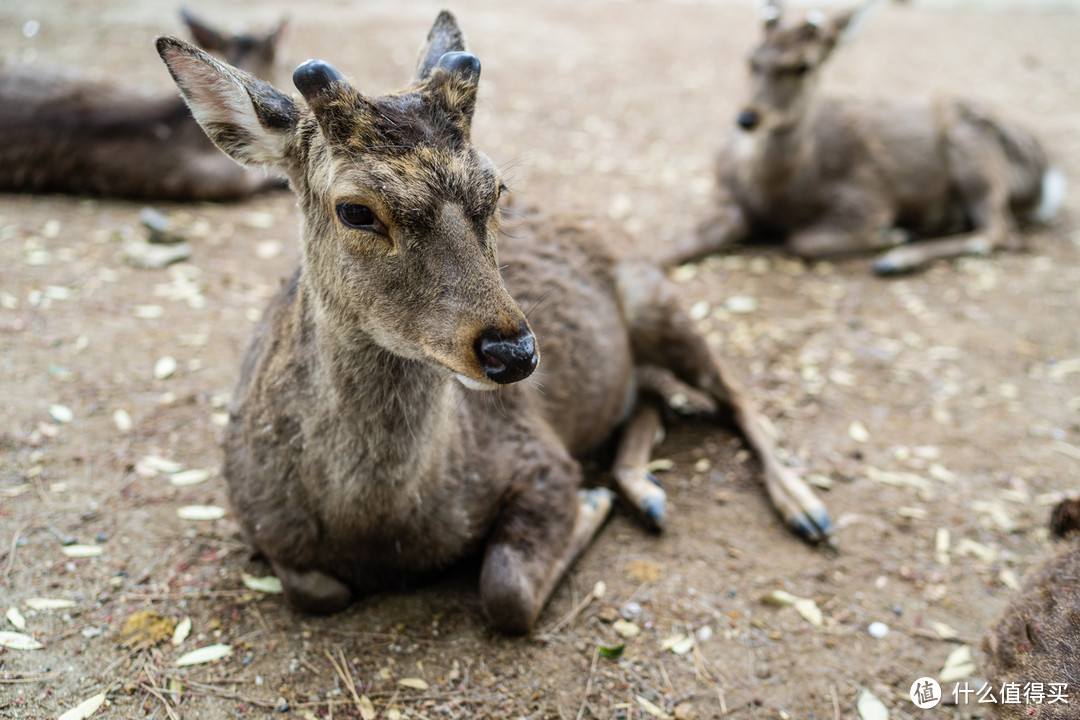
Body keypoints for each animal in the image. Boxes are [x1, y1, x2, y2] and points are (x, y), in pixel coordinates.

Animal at [152, 8, 829, 634]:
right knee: (656, 397)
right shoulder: (257, 522)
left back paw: (805, 510)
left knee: (737, 394)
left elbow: (506, 592)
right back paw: (645, 490)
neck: (381, 531)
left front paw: (591, 503)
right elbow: (317, 591)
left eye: (497, 187)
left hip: (657, 298)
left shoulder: (540, 456)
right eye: (355, 210)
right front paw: (605, 496)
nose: (514, 353)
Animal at [656, 0, 1062, 276]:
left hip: (975, 153)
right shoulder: (726, 197)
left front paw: (892, 234)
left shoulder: (866, 200)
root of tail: (1049, 179)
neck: (777, 195)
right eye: (751, 59)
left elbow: (802, 242)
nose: (747, 118)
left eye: (804, 66)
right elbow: (671, 248)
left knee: (1001, 231)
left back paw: (897, 257)